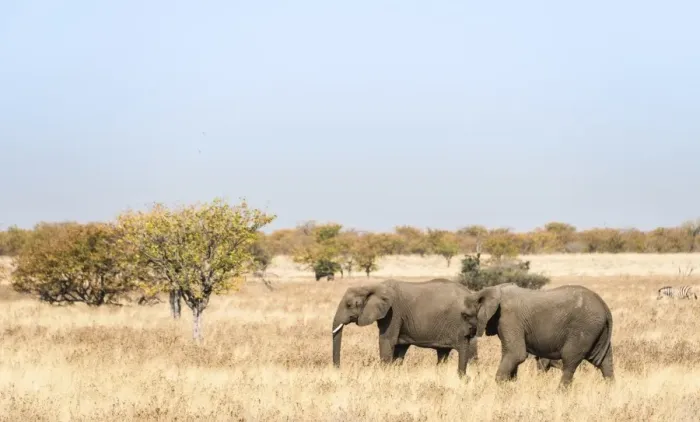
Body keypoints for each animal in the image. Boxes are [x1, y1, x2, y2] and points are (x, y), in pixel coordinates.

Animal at [331, 278, 479, 377]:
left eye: (349, 305)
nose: (338, 370)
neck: (374, 286)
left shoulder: (393, 312)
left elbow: (386, 340)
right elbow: (399, 346)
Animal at [461, 283, 614, 387]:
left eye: (465, 315)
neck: (490, 290)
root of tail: (605, 306)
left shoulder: (509, 319)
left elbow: (516, 354)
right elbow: (513, 356)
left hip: (583, 329)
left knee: (570, 360)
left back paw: (560, 393)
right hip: (597, 331)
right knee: (605, 362)